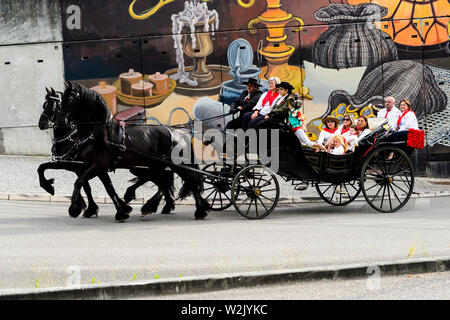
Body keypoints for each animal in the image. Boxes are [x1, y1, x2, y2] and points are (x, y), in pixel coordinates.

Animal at [53, 82, 209, 222]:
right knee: (163, 181)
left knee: (190, 181)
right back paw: (151, 205)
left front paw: (74, 208)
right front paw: (121, 211)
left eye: (70, 99)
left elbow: (79, 182)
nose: (58, 122)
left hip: (177, 165)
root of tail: (179, 133)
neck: (100, 134)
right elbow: (105, 188)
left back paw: (199, 210)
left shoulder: (98, 166)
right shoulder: (95, 167)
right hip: (152, 165)